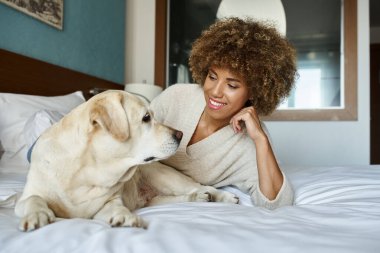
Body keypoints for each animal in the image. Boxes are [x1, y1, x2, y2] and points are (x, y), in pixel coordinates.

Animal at [17, 90, 238, 232]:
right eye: (146, 118)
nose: (181, 134)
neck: (86, 173)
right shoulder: (24, 198)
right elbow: (33, 199)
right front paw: (37, 215)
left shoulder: (109, 203)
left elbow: (117, 207)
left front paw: (124, 216)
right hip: (156, 197)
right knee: (184, 196)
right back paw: (200, 198)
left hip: (165, 177)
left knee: (199, 187)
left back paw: (222, 196)